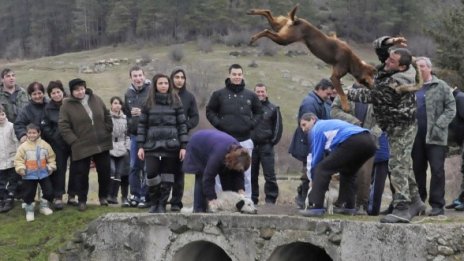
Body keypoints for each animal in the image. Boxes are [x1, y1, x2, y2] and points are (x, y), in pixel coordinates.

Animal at [248, 5, 376, 110]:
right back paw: (253, 38)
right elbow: (342, 94)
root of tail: (296, 20)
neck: (351, 61)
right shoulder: (335, 77)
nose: (374, 88)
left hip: (280, 29)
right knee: (266, 30)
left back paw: (252, 13)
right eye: (371, 77)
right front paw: (346, 107)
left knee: (268, 13)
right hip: (284, 39)